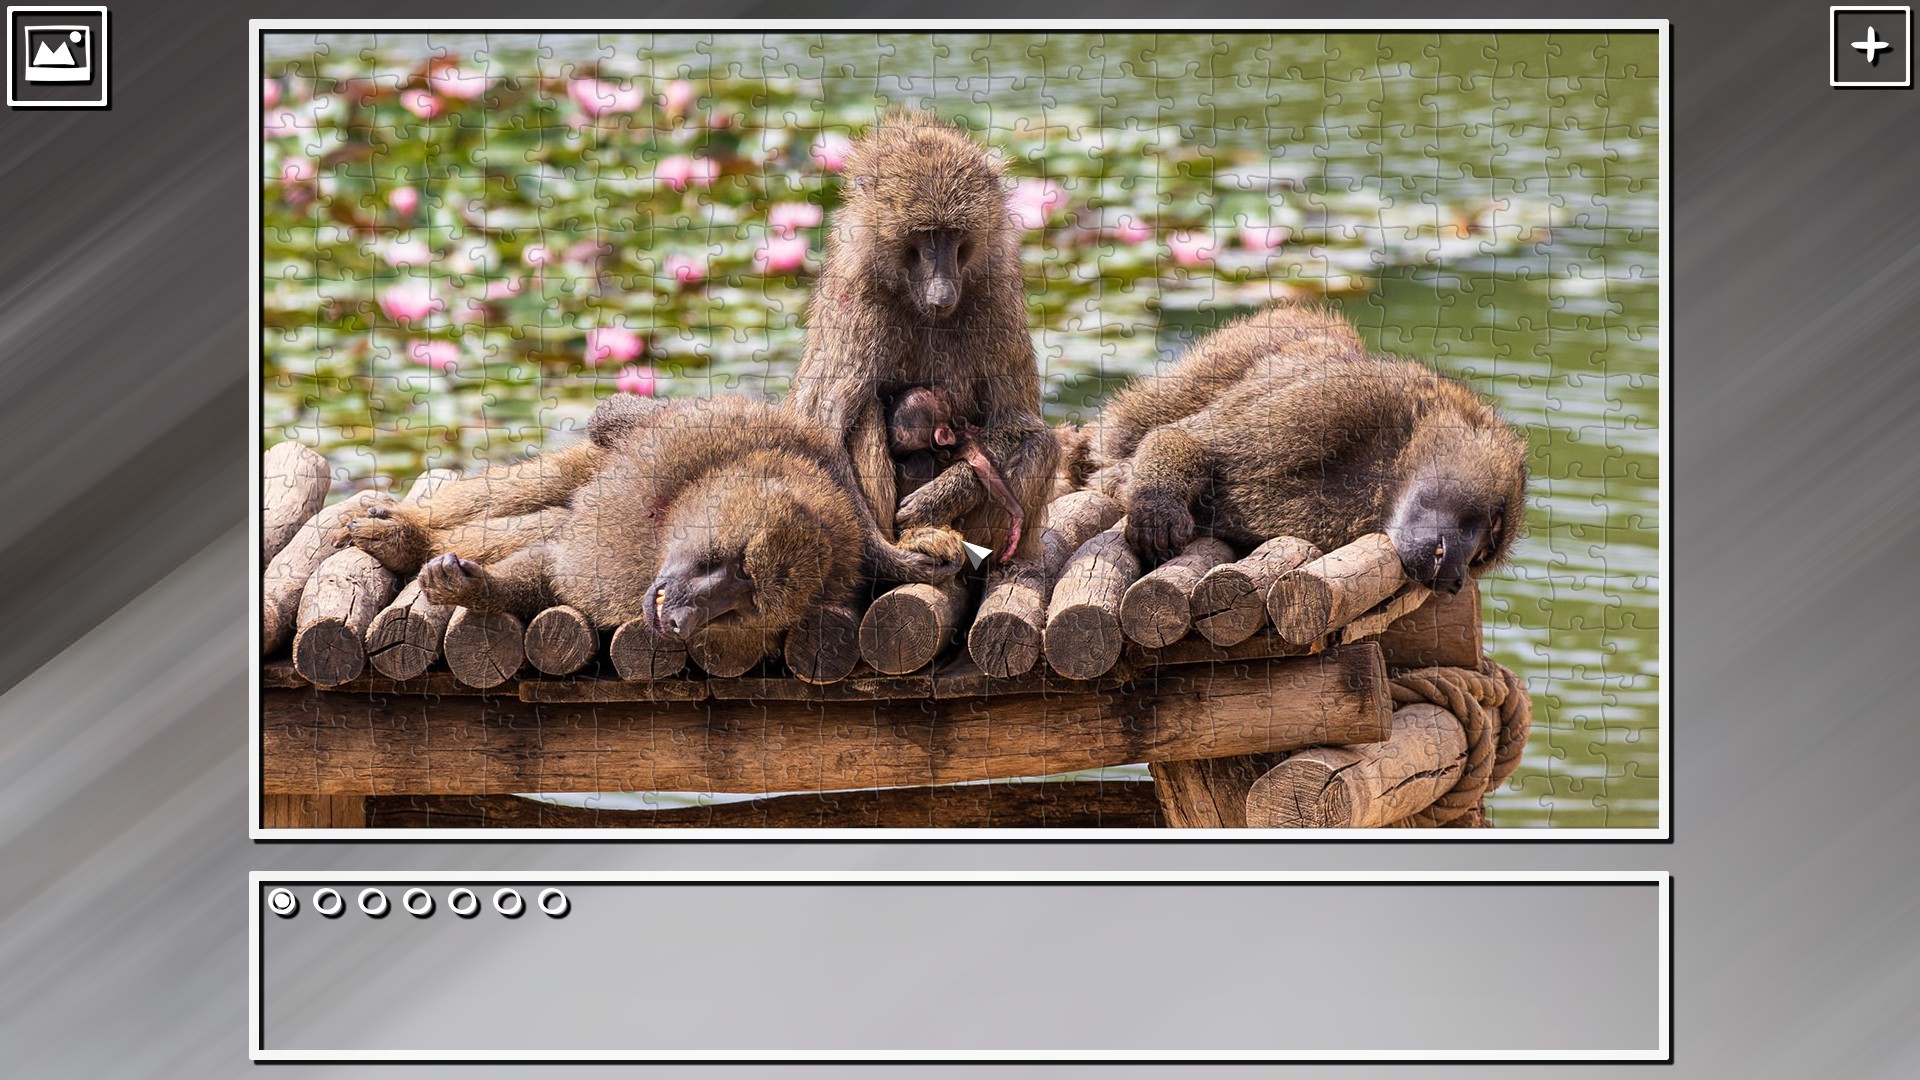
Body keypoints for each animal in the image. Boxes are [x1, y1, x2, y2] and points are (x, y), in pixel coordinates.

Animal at [337, 395, 966, 638]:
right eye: (739, 567)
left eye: (745, 602)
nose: (681, 621)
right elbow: (611, 420)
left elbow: (550, 574)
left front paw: (473, 586)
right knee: (559, 486)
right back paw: (404, 534)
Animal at [1087, 302, 1528, 594]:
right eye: (1494, 523)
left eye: (1483, 556)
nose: (1455, 581)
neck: (1390, 468)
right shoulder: (1346, 398)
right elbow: (1188, 439)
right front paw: (1157, 505)